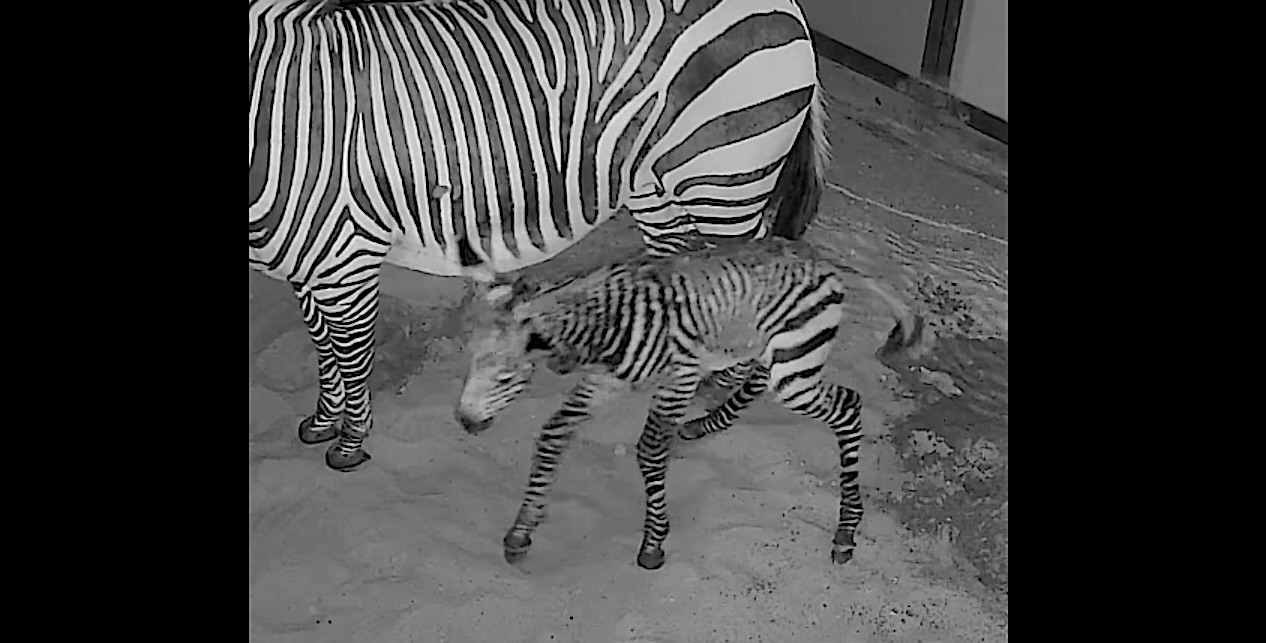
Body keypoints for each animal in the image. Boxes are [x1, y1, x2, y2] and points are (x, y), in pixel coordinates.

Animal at [249, 0, 831, 471]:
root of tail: (789, 8)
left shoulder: (345, 257)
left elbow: (349, 352)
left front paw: (350, 443)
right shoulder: (307, 260)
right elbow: (322, 346)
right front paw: (323, 422)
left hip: (722, 176)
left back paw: (709, 415)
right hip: (655, 183)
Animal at [453, 237, 924, 569]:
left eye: (505, 376)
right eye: (469, 361)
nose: (465, 422)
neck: (604, 326)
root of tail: (822, 259)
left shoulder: (678, 377)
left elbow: (649, 450)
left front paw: (653, 542)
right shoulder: (604, 382)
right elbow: (552, 435)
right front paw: (521, 533)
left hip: (794, 370)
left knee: (848, 406)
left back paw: (846, 530)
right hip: (769, 348)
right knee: (757, 379)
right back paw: (705, 424)